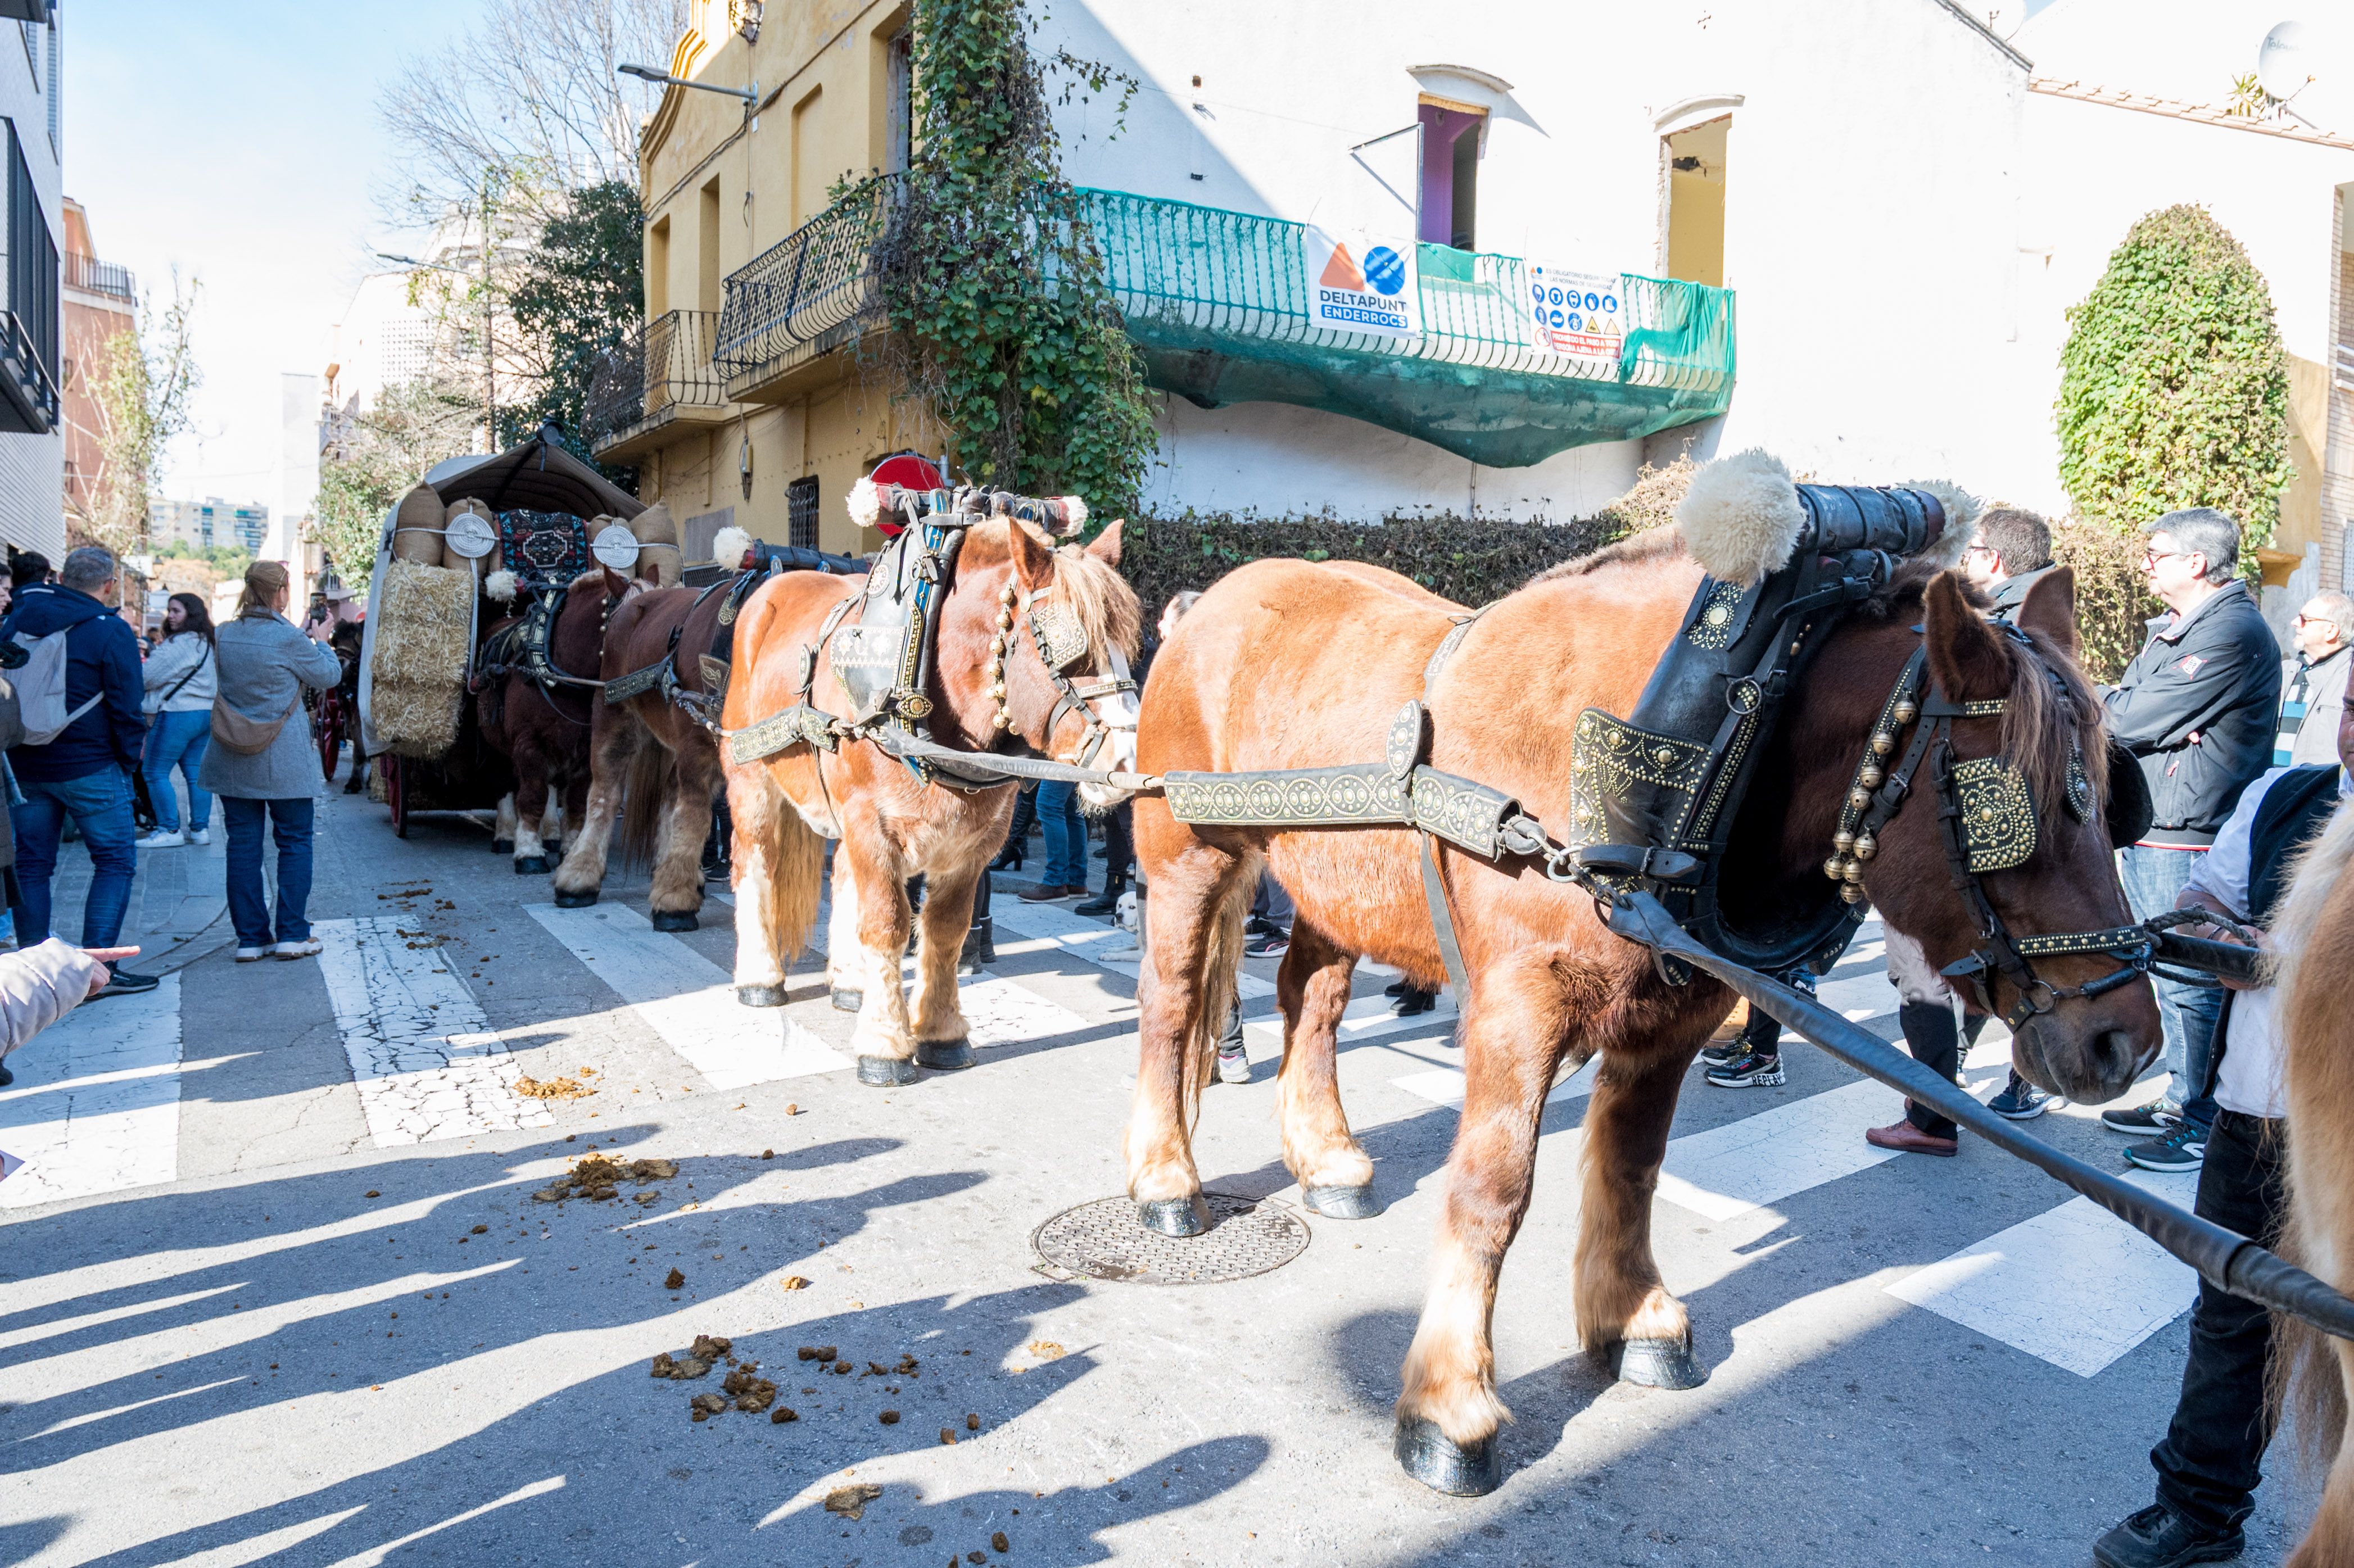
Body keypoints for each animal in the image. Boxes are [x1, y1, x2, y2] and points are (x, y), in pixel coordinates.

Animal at [473, 572, 607, 866]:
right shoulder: (529, 744)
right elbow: (533, 796)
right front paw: (528, 852)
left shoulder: (583, 749)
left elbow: (575, 801)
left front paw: (569, 849)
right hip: (495, 743)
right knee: (504, 781)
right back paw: (505, 835)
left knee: (553, 785)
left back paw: (551, 833)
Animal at [720, 518, 1144, 1083]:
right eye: (1067, 649)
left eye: (1131, 645)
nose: (1129, 761)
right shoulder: (872, 825)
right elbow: (888, 924)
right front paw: (885, 1045)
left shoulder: (970, 847)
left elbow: (945, 931)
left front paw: (941, 1034)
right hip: (753, 785)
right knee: (755, 864)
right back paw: (760, 979)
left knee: (845, 877)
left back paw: (851, 985)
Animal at [1130, 450, 2156, 1488]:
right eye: (2018, 803)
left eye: (2112, 795)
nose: (2126, 1040)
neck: (1711, 747)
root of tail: (1217, 600)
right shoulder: (1517, 1006)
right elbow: (1494, 1189)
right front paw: (1450, 1404)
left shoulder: (1675, 1012)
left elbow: (1632, 1166)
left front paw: (1631, 1320)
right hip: (1185, 857)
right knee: (1171, 1006)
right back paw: (1166, 1181)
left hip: (1335, 881)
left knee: (1310, 996)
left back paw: (1328, 1159)